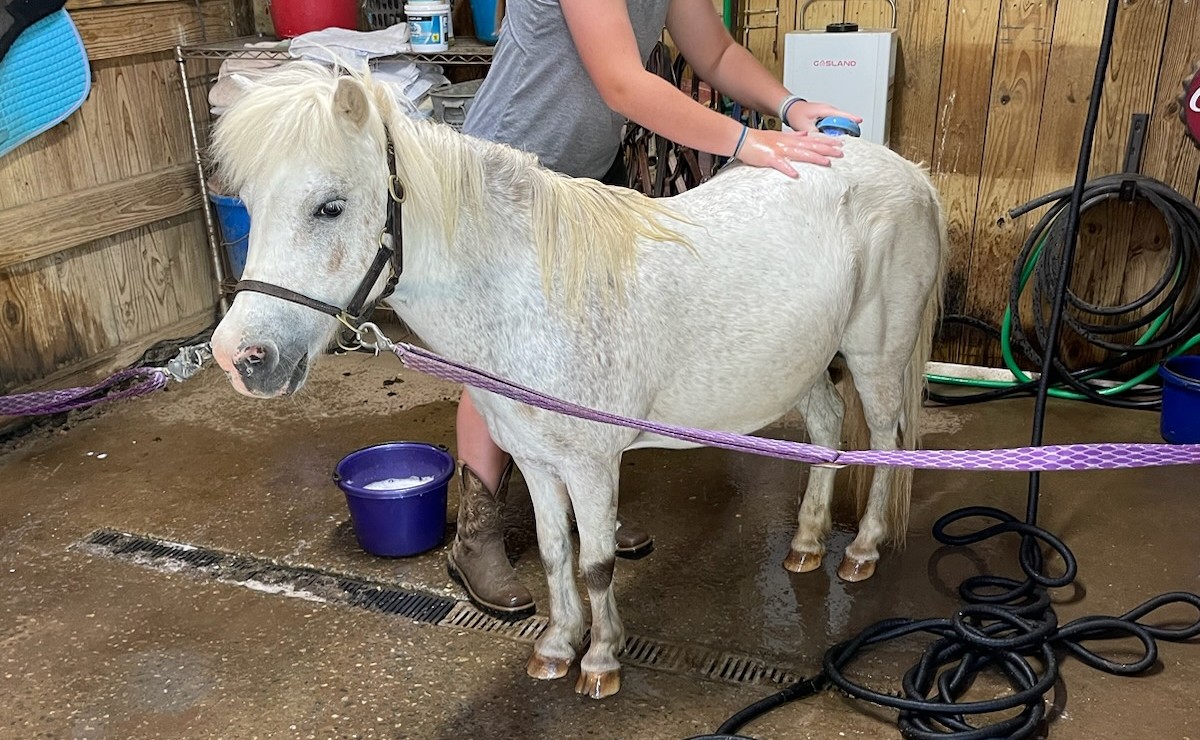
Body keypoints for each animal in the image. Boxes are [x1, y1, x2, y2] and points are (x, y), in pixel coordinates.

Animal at [211, 63, 950, 700]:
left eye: (330, 207)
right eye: (248, 202)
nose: (238, 356)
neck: (528, 294)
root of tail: (908, 173)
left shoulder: (592, 466)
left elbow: (594, 563)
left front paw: (599, 661)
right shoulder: (538, 462)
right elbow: (552, 552)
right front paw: (557, 647)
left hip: (874, 356)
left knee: (884, 442)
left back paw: (861, 550)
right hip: (803, 365)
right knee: (826, 431)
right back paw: (804, 543)